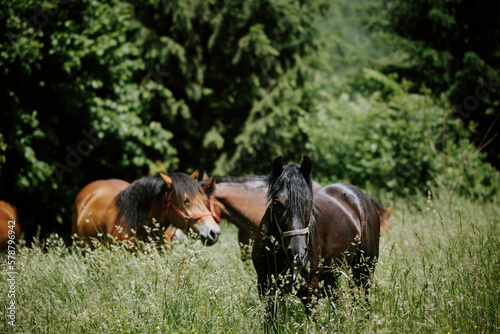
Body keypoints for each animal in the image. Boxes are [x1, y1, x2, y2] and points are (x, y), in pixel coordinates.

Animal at [252, 157, 380, 314]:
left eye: (308, 202)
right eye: (276, 203)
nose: (298, 253)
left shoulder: (310, 292)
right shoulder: (266, 289)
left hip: (364, 269)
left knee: (364, 297)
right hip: (332, 275)